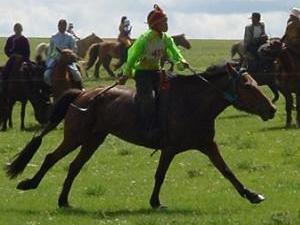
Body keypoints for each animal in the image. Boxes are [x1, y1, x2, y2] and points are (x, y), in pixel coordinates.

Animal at [5, 62, 276, 208]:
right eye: (248, 85)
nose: (272, 109)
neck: (192, 103)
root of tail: (82, 94)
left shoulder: (208, 145)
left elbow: (227, 171)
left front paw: (252, 195)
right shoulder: (170, 149)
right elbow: (160, 175)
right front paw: (155, 202)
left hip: (94, 139)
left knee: (74, 166)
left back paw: (64, 200)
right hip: (76, 137)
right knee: (51, 157)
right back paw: (30, 184)